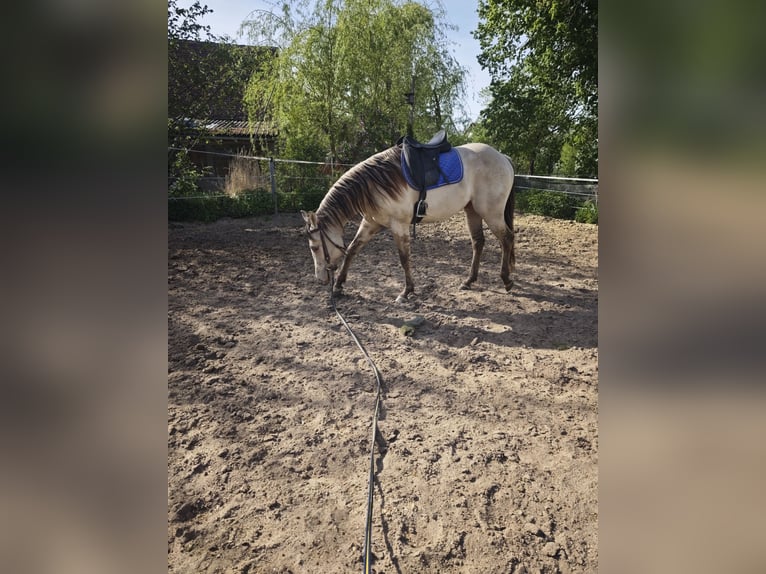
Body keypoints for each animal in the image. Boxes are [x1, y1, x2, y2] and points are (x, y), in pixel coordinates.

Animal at [301, 142, 515, 303]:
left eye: (314, 247)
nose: (320, 280)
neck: (375, 183)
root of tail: (502, 157)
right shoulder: (370, 224)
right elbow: (353, 249)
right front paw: (338, 285)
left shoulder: (399, 225)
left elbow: (404, 258)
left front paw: (406, 292)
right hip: (472, 211)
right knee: (478, 242)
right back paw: (469, 281)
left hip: (491, 213)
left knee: (507, 239)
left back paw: (506, 280)